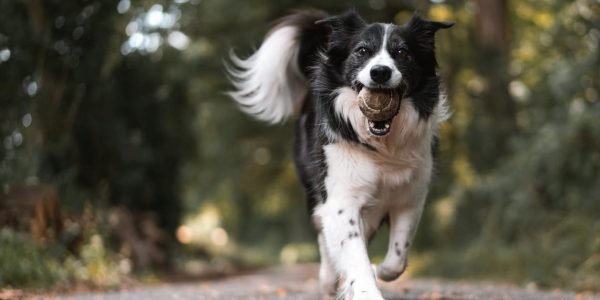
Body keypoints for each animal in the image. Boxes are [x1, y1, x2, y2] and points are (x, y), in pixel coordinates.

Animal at [227, 10, 452, 298]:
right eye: (362, 51)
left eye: (403, 52)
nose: (380, 72)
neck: (382, 145)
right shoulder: (341, 198)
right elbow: (353, 254)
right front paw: (365, 290)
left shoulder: (410, 196)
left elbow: (397, 258)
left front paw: (378, 271)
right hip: (314, 191)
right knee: (324, 235)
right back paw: (328, 280)